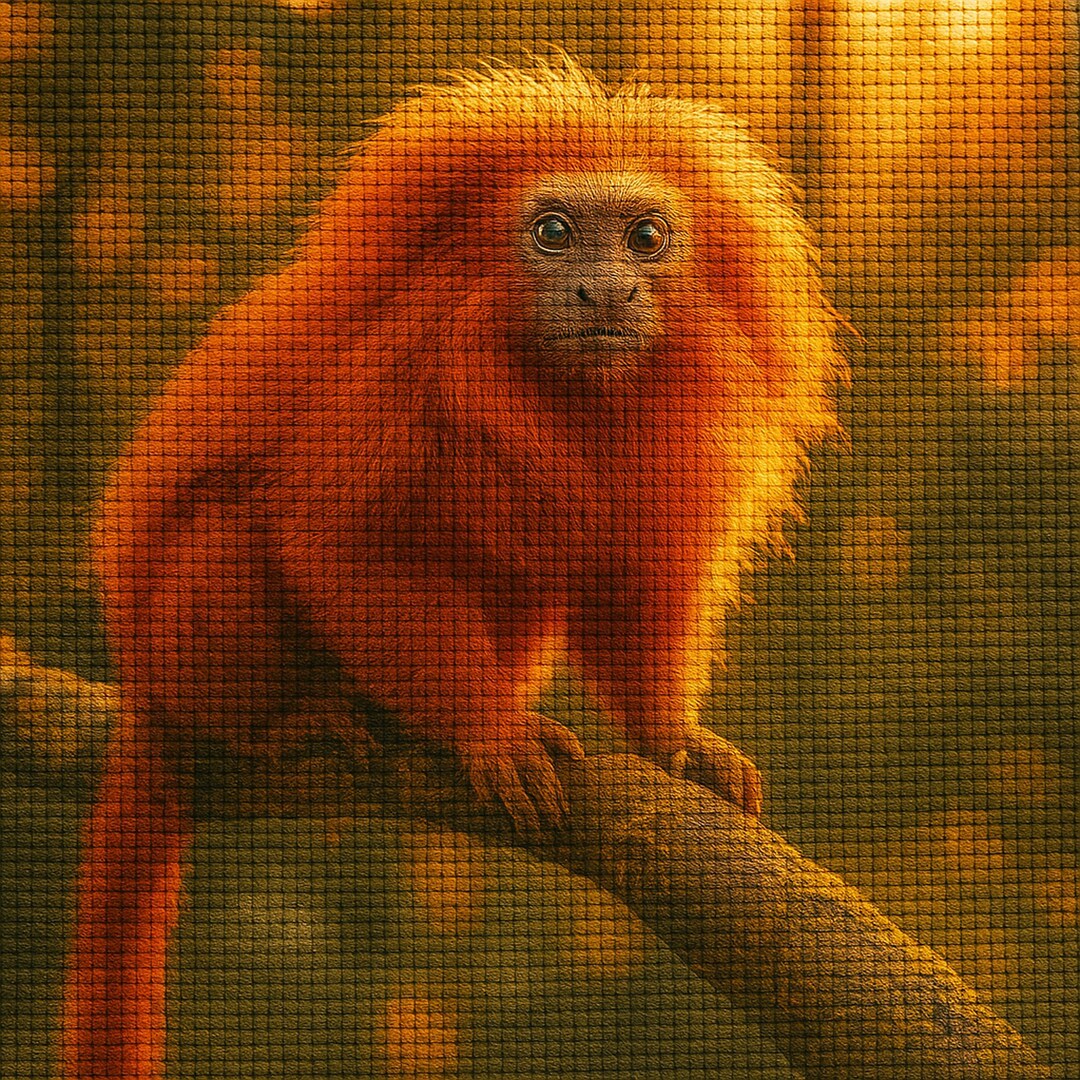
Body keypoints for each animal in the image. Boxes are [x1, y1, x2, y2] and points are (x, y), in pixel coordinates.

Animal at [63, 61, 840, 1078]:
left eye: (645, 237)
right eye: (553, 234)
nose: (605, 293)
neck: (548, 385)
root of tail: (139, 686)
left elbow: (626, 584)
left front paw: (672, 738)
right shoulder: (401, 371)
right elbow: (337, 541)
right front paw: (487, 729)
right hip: (175, 651)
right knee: (232, 528)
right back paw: (277, 725)